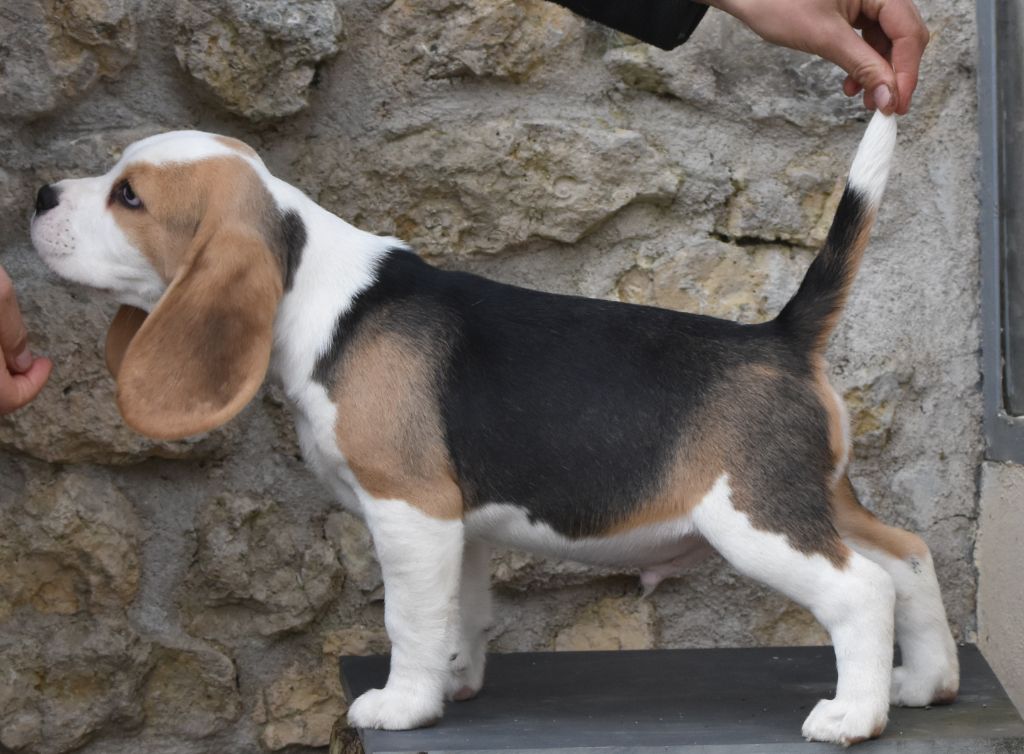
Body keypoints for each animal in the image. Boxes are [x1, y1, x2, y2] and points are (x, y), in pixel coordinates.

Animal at [32, 114, 958, 745]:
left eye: (129, 196)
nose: (39, 193)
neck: (321, 294)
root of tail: (780, 337)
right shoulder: (458, 523)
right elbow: (459, 614)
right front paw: (453, 683)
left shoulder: (409, 510)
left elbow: (409, 621)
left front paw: (404, 705)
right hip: (815, 498)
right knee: (908, 556)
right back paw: (926, 682)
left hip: (754, 518)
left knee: (861, 590)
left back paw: (855, 714)